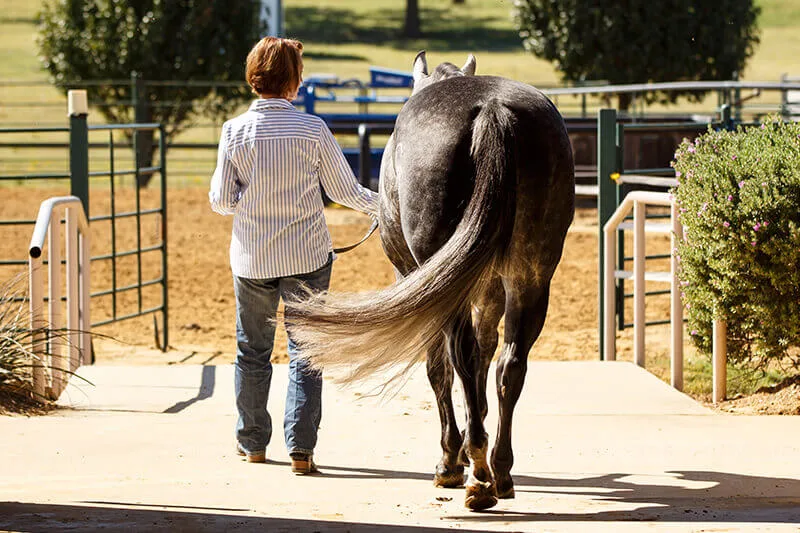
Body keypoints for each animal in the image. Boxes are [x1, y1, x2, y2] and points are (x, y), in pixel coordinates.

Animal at [287, 51, 575, 510]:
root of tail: (492, 110)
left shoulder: (415, 275)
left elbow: (438, 366)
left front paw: (450, 460)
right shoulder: (488, 288)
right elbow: (487, 351)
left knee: (461, 356)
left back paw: (477, 473)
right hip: (531, 274)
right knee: (509, 363)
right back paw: (500, 469)